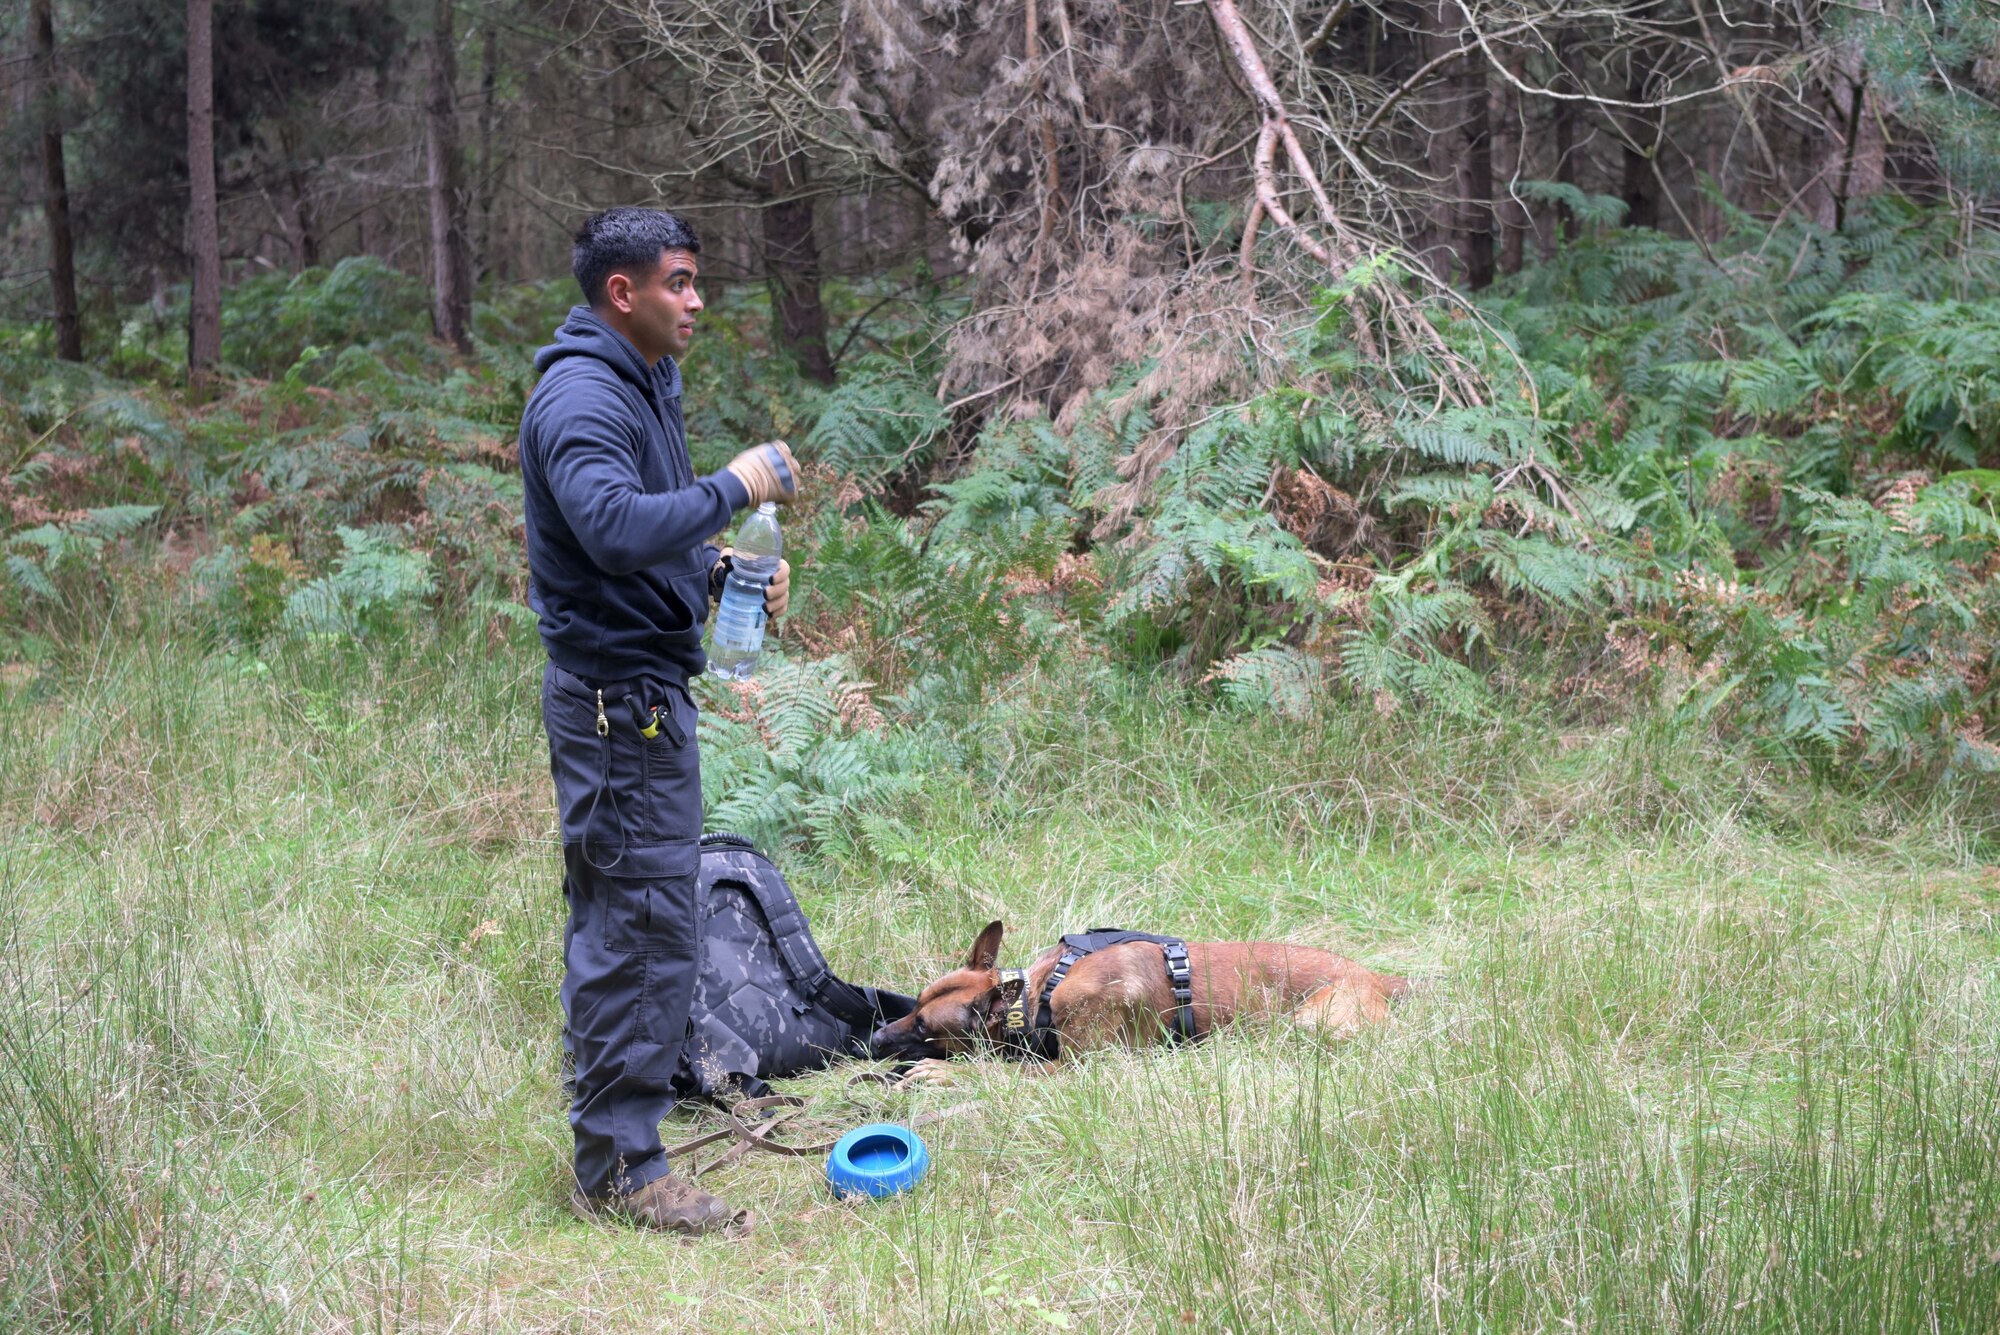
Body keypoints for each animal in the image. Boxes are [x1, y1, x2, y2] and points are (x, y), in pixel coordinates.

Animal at [872, 919, 1408, 1063]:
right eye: (914, 1007)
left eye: (924, 1026)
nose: (874, 1037)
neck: (1039, 994)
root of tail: (1378, 979)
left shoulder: (1082, 1070)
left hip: (1307, 1025)